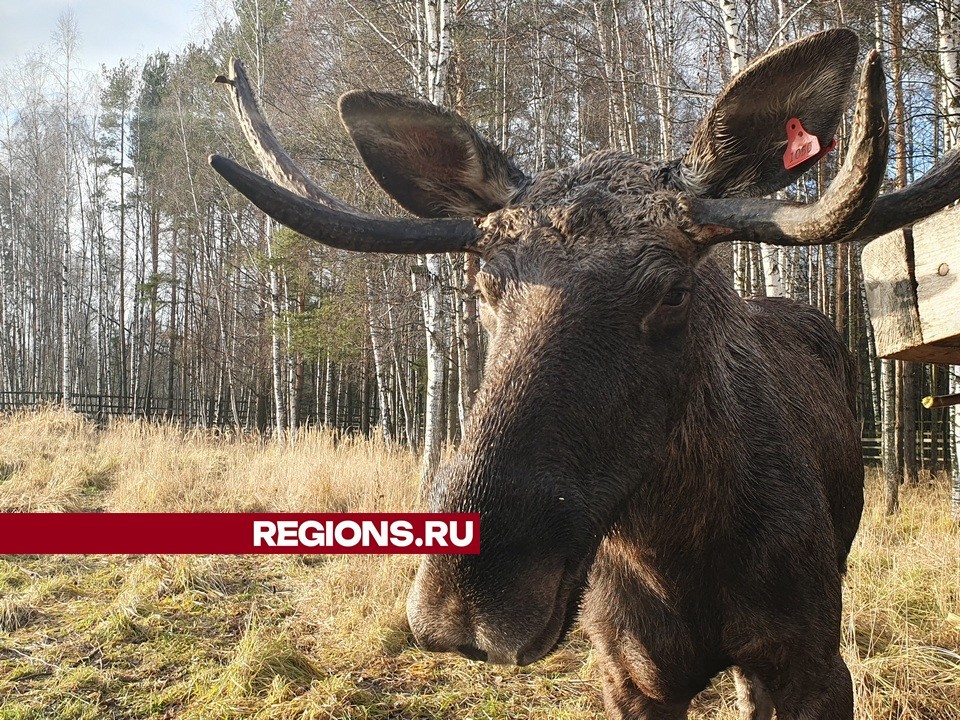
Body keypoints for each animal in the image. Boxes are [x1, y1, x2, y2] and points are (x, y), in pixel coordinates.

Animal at [210, 31, 960, 720]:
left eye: (674, 291)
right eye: (484, 285)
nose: (468, 605)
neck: (679, 553)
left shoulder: (813, 656)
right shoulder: (629, 674)